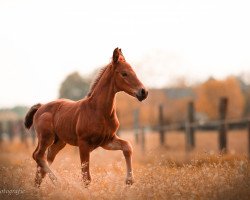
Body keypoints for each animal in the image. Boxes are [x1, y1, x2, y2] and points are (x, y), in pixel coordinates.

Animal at [24, 47, 147, 187]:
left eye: (134, 72)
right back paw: (59, 183)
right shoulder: (83, 143)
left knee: (45, 159)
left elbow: (127, 146)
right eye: (124, 73)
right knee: (38, 155)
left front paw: (129, 181)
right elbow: (86, 177)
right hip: (46, 137)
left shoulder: (107, 140)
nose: (143, 92)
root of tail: (41, 107)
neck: (99, 111)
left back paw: (38, 186)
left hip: (59, 142)